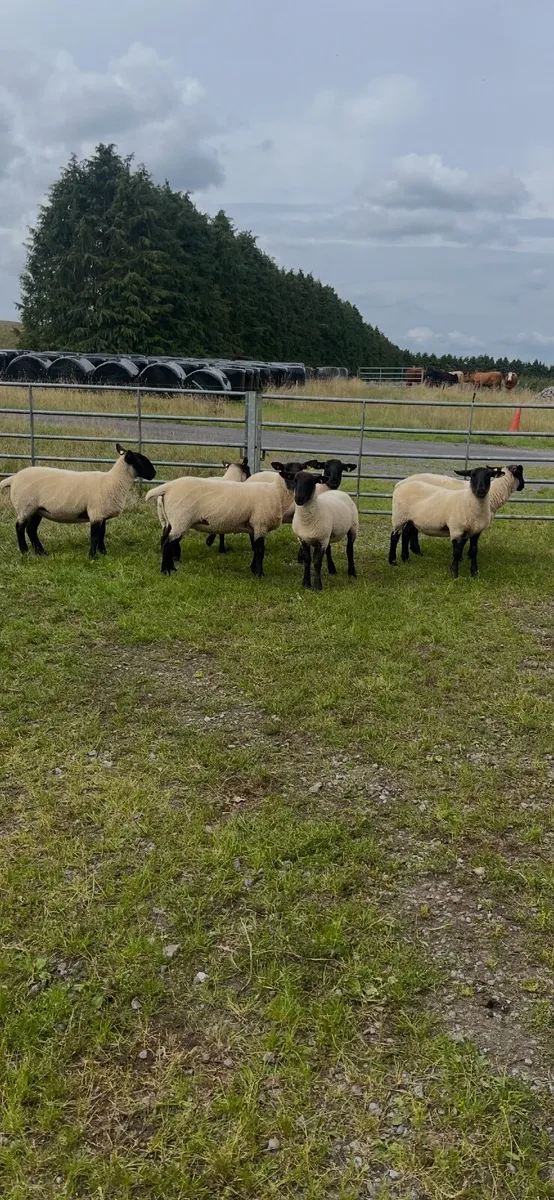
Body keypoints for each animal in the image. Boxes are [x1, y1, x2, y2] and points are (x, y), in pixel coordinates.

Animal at [0, 443, 156, 559]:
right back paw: (24, 551)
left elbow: (102, 535)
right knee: (20, 527)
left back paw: (41, 553)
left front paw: (104, 553)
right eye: (141, 460)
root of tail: (13, 478)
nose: (154, 474)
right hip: (25, 506)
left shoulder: (101, 514)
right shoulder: (95, 512)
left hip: (37, 509)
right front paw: (92, 557)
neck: (114, 481)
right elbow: (95, 536)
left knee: (31, 529)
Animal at [146, 465, 296, 577]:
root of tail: (168, 487)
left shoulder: (255, 526)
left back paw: (169, 568)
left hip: (172, 521)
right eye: (290, 474)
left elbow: (256, 549)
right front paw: (260, 574)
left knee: (165, 541)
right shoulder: (260, 524)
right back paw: (167, 571)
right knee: (167, 543)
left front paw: (254, 569)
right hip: (181, 519)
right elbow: (260, 551)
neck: (276, 493)